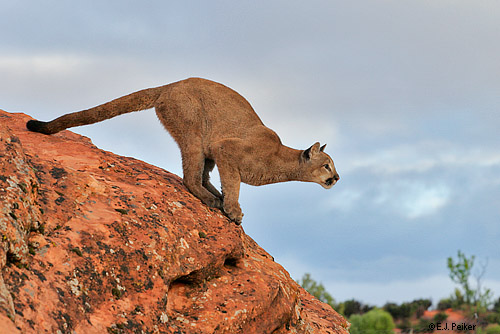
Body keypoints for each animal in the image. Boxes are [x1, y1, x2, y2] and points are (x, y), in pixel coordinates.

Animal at [26, 77, 340, 224]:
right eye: (327, 164)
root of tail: (172, 83)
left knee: (201, 176)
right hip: (194, 134)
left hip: (203, 146)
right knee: (190, 177)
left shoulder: (220, 155)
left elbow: (228, 182)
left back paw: (213, 195)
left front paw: (230, 205)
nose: (337, 178)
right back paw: (212, 200)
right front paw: (234, 211)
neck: (280, 160)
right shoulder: (227, 150)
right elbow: (234, 185)